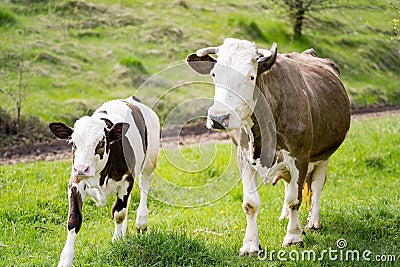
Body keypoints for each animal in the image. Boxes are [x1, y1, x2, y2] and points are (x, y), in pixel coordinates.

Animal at [48, 96, 158, 267]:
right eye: (73, 143)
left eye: (100, 143)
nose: (82, 168)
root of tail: (132, 99)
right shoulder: (75, 183)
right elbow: (74, 220)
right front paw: (65, 260)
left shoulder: (127, 179)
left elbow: (118, 213)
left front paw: (117, 240)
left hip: (150, 161)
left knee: (144, 187)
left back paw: (141, 222)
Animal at [188, 38, 350, 256]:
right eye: (215, 74)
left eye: (251, 76)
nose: (218, 118)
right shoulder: (244, 158)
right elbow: (250, 203)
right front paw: (250, 245)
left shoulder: (300, 157)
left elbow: (294, 199)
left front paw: (293, 237)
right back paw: (284, 216)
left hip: (324, 154)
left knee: (316, 185)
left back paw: (312, 222)